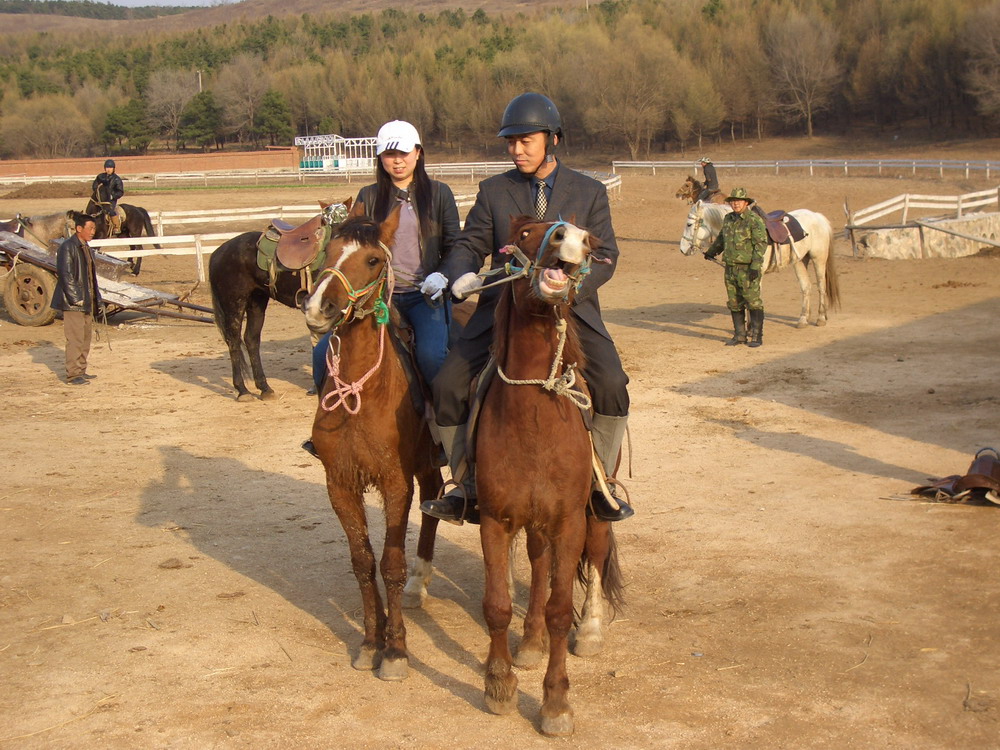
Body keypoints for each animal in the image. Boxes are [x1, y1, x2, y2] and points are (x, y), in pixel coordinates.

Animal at [300, 204, 442, 680]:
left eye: (373, 260)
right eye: (329, 250)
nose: (318, 308)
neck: (361, 394)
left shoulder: (396, 482)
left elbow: (390, 563)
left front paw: (395, 650)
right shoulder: (340, 483)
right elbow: (363, 562)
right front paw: (370, 640)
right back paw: (421, 581)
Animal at [476, 217, 624, 740]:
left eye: (588, 238)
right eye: (523, 234)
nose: (574, 237)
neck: (534, 416)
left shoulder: (568, 521)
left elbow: (562, 609)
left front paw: (556, 703)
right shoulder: (496, 520)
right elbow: (498, 605)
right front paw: (499, 685)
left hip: (593, 513)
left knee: (596, 558)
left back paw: (592, 631)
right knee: (539, 568)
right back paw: (530, 641)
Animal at [680, 201, 836, 328]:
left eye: (689, 224)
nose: (682, 249)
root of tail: (817, 216)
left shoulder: (755, 275)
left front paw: (751, 329)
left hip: (818, 259)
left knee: (821, 286)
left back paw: (821, 318)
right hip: (800, 261)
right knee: (806, 287)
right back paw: (803, 320)